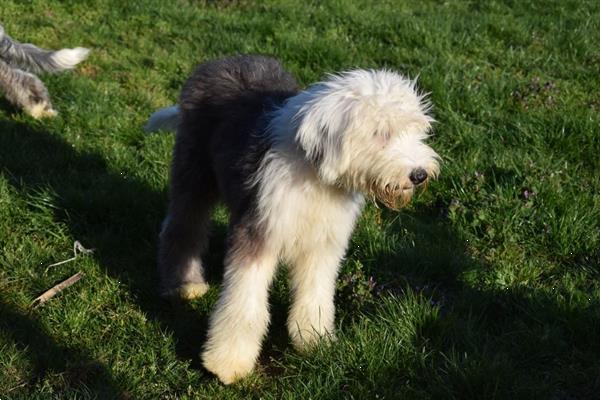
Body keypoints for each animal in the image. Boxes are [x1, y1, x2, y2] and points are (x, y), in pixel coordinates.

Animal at [144, 55, 438, 384]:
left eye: (417, 130)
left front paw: (314, 340)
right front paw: (228, 362)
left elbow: (316, 294)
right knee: (181, 228)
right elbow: (244, 303)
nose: (419, 175)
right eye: (382, 133)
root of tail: (220, 60)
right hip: (194, 174)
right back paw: (184, 285)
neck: (316, 175)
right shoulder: (259, 231)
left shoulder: (324, 244)